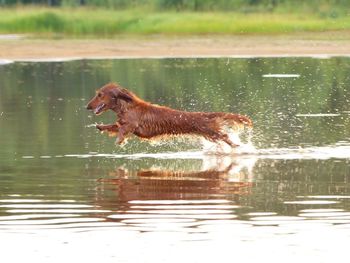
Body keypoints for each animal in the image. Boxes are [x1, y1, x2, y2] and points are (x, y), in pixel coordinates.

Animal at [86, 83, 253, 146]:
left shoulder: (132, 125)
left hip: (212, 132)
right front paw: (100, 127)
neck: (127, 106)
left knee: (226, 137)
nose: (87, 106)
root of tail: (206, 114)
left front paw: (119, 140)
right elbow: (114, 126)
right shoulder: (123, 123)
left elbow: (122, 129)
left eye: (100, 95)